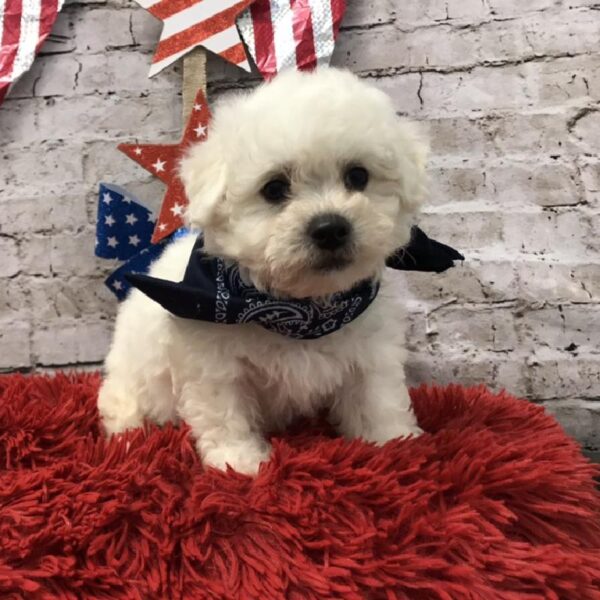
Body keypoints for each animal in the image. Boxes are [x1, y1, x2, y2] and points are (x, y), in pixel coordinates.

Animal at [98, 69, 426, 474]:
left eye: (357, 176)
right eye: (274, 189)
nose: (330, 228)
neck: (301, 310)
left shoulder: (371, 347)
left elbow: (376, 395)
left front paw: (393, 442)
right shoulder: (212, 361)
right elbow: (224, 411)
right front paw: (239, 461)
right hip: (129, 375)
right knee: (119, 402)